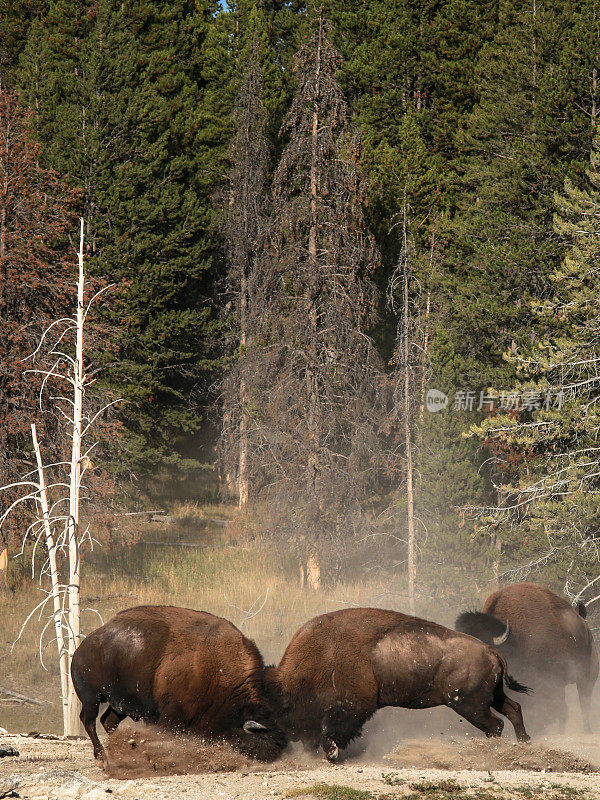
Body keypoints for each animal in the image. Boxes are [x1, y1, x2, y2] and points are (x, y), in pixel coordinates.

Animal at [70, 608, 286, 764]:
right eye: (262, 740)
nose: (271, 759)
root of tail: (80, 650)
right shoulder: (170, 716)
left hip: (120, 703)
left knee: (108, 722)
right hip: (91, 698)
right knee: (89, 720)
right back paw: (102, 757)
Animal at [268, 608, 528, 764]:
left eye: (286, 708)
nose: (295, 738)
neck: (325, 651)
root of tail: (490, 650)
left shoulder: (354, 706)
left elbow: (332, 729)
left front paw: (331, 754)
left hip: (470, 705)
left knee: (495, 725)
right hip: (492, 697)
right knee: (514, 709)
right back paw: (524, 743)